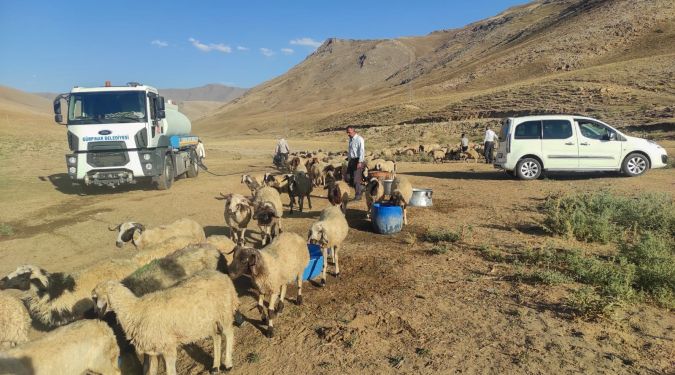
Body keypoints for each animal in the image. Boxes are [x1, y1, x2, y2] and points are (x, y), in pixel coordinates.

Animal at [92, 272, 240, 374]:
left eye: (94, 297)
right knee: (216, 337)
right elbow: (151, 371)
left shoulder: (168, 346)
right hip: (210, 320)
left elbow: (170, 371)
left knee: (229, 333)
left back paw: (228, 364)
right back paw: (215, 367)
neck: (134, 310)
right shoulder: (153, 351)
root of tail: (221, 275)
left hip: (224, 312)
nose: (95, 312)